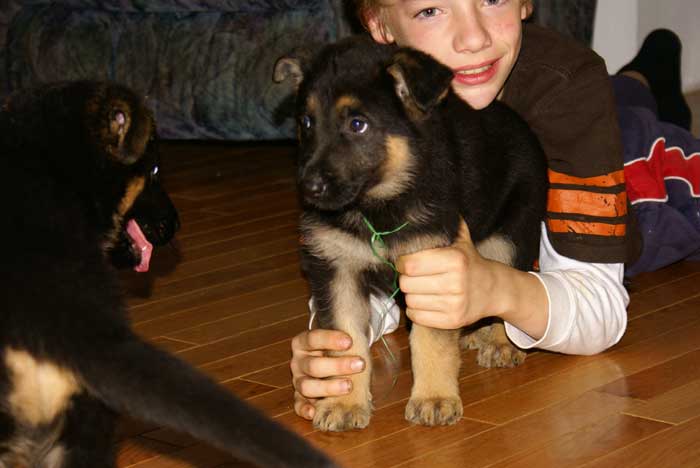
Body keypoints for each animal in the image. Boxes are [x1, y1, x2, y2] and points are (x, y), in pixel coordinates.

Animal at [274, 36, 548, 432]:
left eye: (357, 124)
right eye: (306, 123)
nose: (308, 189)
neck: (378, 205)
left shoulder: (434, 269)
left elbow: (430, 340)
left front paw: (434, 398)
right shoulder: (337, 270)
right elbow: (346, 341)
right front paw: (343, 402)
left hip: (509, 237)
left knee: (506, 285)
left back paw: (499, 341)